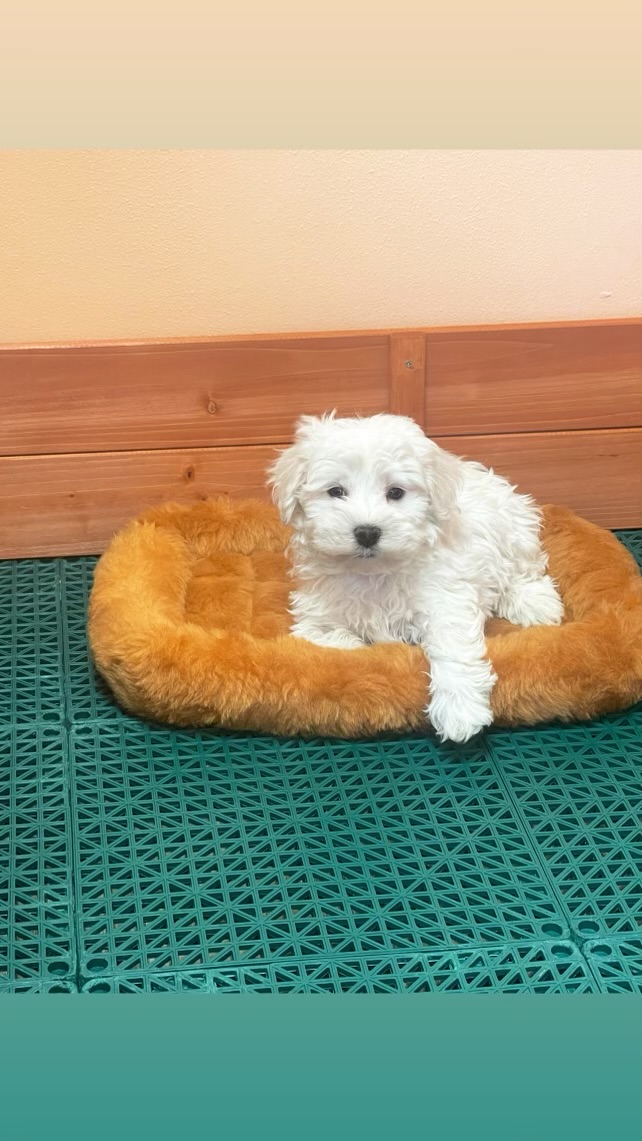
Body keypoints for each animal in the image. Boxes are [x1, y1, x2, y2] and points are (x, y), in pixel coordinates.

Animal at [269, 415, 565, 743]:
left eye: (396, 492)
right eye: (336, 491)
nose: (367, 532)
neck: (374, 572)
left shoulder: (446, 600)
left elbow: (452, 648)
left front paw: (459, 711)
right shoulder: (315, 616)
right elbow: (331, 639)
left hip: (514, 531)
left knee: (525, 570)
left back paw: (534, 602)